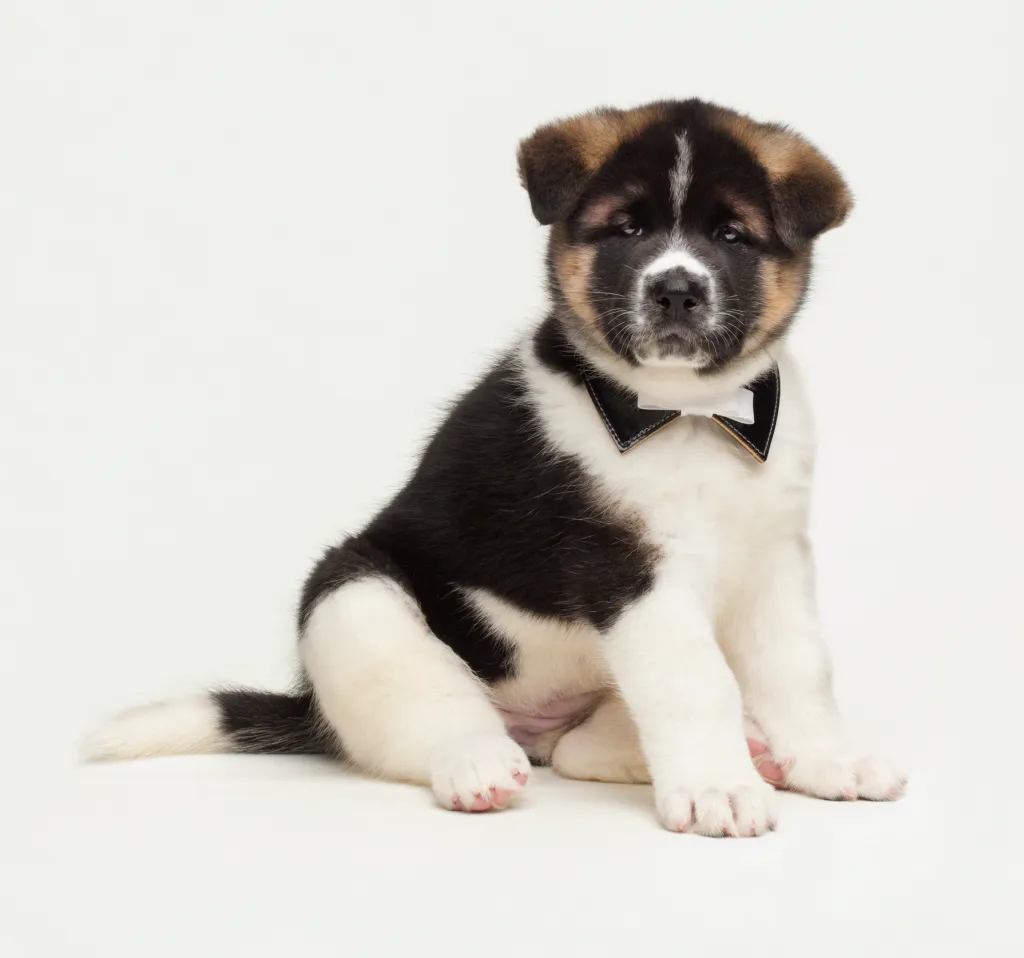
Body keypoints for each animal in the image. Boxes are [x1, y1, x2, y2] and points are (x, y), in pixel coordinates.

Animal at [88, 100, 905, 839]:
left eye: (731, 235)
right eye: (628, 229)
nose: (676, 290)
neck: (691, 413)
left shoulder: (774, 558)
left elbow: (798, 669)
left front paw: (825, 762)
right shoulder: (629, 570)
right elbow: (696, 678)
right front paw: (720, 792)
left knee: (579, 748)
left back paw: (750, 752)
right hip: (354, 599)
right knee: (434, 714)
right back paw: (477, 768)